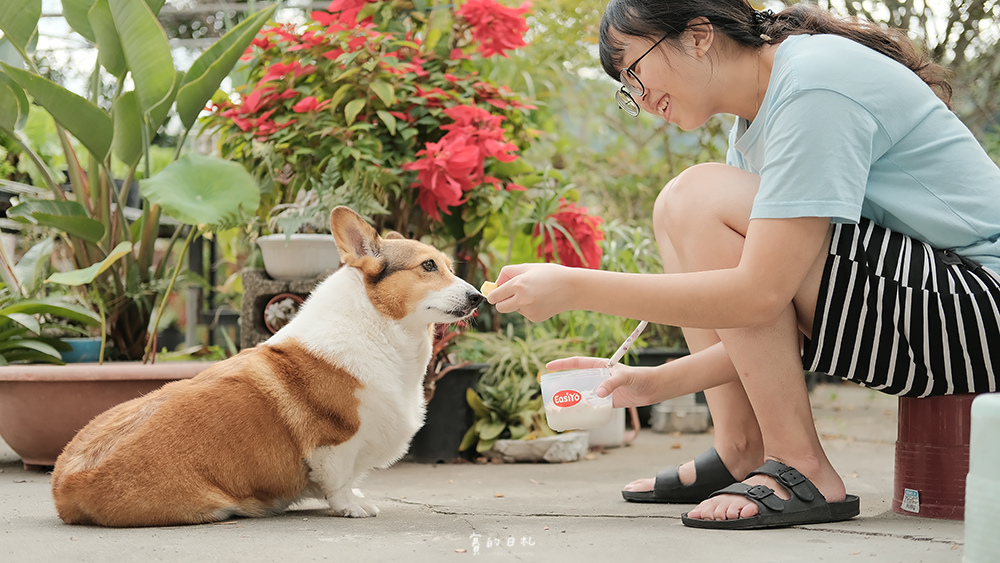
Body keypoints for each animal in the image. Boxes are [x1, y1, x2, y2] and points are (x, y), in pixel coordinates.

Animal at [51, 207, 484, 528]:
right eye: (428, 266)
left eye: (448, 265)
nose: (478, 297)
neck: (378, 325)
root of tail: (65, 486)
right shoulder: (335, 442)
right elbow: (339, 480)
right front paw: (351, 506)